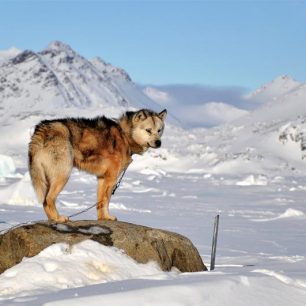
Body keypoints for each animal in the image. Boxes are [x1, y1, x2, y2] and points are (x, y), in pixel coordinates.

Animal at [28, 109, 167, 222]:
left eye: (159, 130)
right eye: (148, 130)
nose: (158, 143)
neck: (125, 135)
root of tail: (42, 128)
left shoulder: (102, 178)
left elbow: (100, 202)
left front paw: (102, 218)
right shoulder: (111, 179)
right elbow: (106, 201)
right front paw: (108, 217)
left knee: (45, 202)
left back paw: (52, 219)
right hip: (63, 175)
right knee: (48, 199)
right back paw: (58, 219)